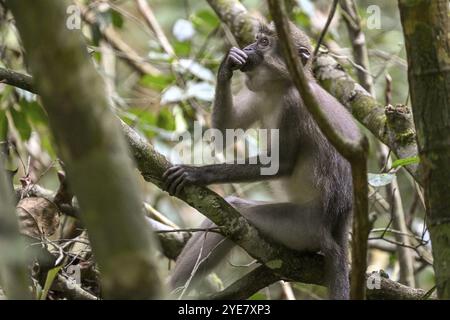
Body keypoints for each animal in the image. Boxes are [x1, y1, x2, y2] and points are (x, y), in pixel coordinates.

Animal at [162, 22, 362, 300]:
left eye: (264, 43)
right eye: (256, 39)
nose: (248, 48)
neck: (282, 87)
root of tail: (339, 227)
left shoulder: (294, 105)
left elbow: (282, 163)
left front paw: (197, 174)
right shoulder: (259, 91)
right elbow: (225, 132)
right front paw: (227, 64)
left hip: (302, 228)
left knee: (238, 213)